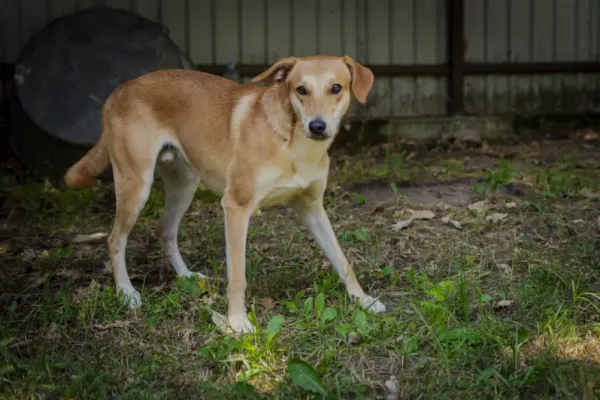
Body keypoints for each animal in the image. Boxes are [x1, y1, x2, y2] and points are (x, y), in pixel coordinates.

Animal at [64, 54, 384, 332]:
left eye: (336, 88)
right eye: (301, 89)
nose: (317, 126)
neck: (292, 142)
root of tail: (119, 90)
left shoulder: (312, 207)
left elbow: (343, 260)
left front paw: (363, 300)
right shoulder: (236, 208)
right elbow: (237, 278)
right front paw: (237, 322)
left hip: (184, 186)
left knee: (165, 231)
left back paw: (186, 276)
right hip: (136, 185)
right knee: (114, 239)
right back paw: (126, 293)